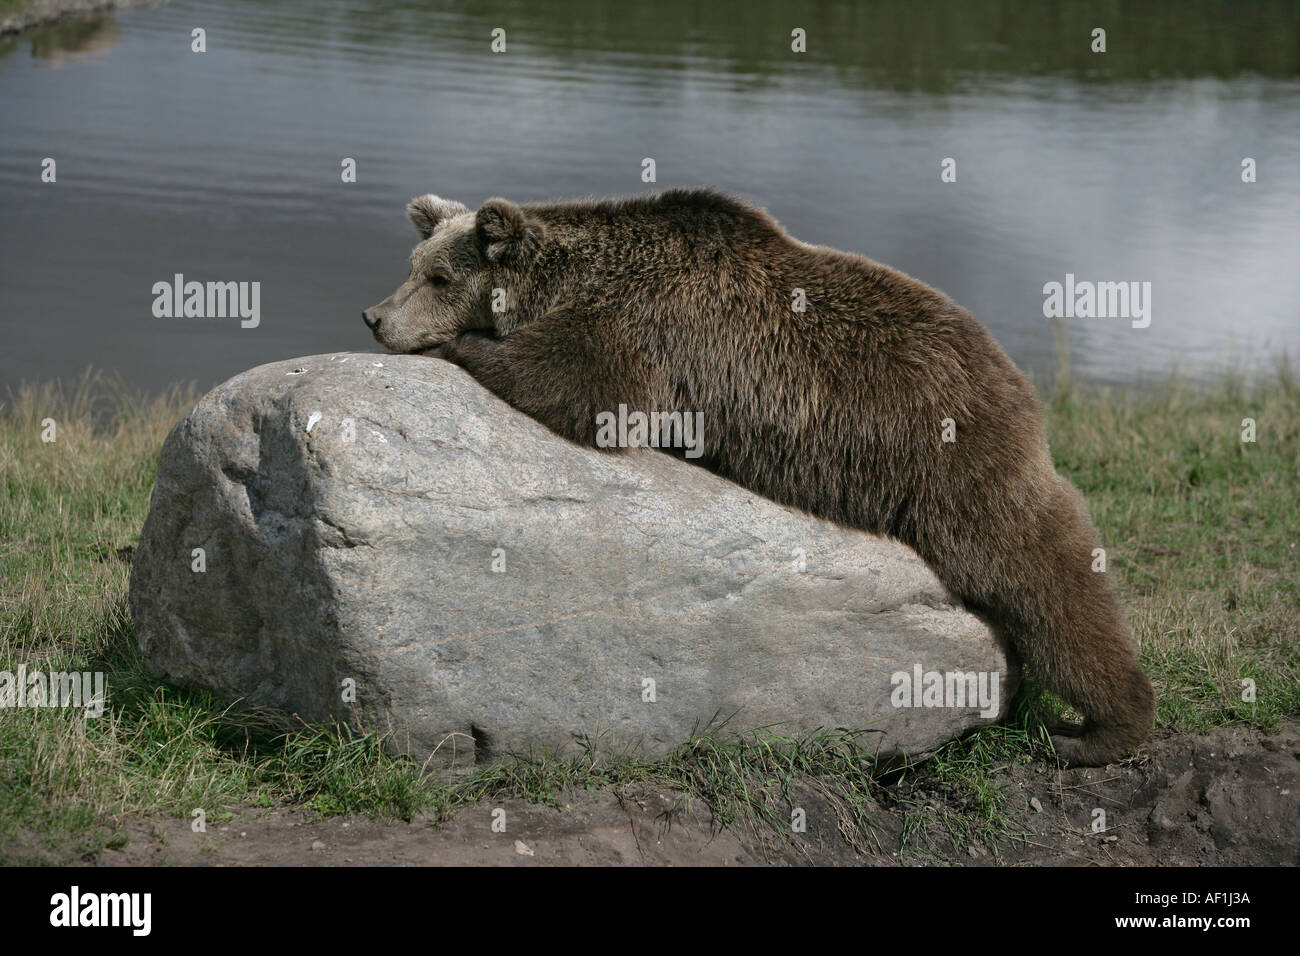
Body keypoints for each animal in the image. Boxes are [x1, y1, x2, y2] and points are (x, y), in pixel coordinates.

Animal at [362, 187, 1155, 766]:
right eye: (413, 261)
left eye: (439, 275)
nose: (374, 315)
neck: (572, 276)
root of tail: (1015, 380)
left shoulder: (645, 327)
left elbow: (581, 385)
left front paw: (461, 346)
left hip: (954, 466)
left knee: (1043, 581)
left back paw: (1098, 729)